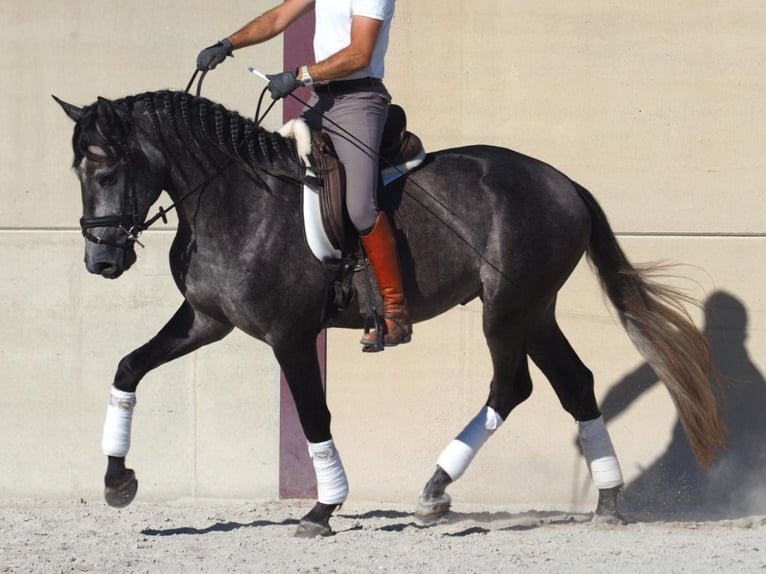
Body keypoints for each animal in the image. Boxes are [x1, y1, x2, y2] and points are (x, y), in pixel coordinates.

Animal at [52, 89, 728, 536]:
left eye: (106, 170)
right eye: (79, 171)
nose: (101, 260)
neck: (236, 196)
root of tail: (566, 184)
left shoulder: (290, 334)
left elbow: (314, 414)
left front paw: (323, 509)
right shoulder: (205, 321)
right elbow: (128, 367)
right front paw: (117, 482)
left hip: (508, 310)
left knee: (512, 386)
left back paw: (436, 490)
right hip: (534, 311)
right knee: (573, 384)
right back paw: (604, 501)